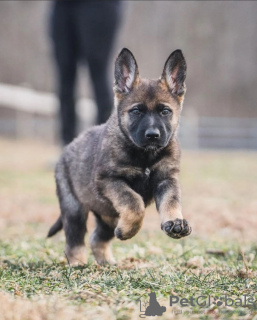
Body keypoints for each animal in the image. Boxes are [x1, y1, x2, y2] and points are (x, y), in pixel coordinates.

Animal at [48, 48, 190, 264]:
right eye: (136, 111)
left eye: (165, 111)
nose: (153, 135)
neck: (145, 156)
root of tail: (68, 147)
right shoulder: (110, 181)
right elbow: (134, 202)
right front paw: (129, 230)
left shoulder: (166, 179)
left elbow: (171, 200)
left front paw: (174, 221)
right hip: (74, 208)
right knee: (74, 241)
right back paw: (78, 264)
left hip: (108, 214)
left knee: (97, 238)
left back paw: (108, 263)